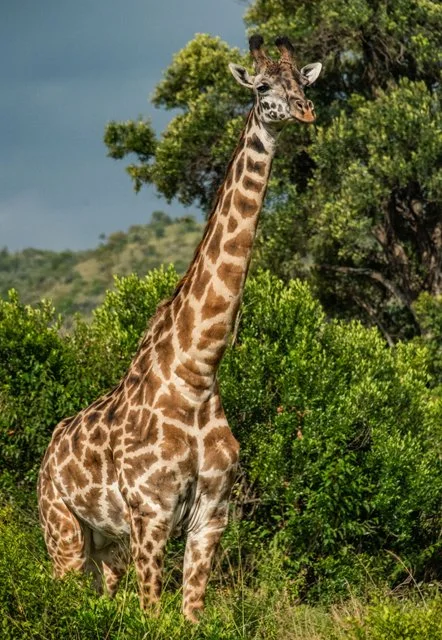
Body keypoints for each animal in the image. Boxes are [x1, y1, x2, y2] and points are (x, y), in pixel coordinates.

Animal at [37, 34, 321, 623]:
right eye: (262, 86)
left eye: (302, 82)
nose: (304, 111)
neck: (197, 370)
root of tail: (47, 455)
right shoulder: (152, 514)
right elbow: (151, 616)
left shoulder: (209, 517)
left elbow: (191, 615)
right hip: (63, 534)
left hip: (107, 544)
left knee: (107, 595)